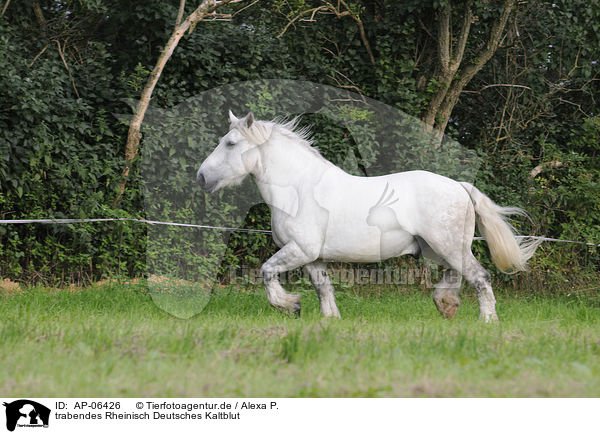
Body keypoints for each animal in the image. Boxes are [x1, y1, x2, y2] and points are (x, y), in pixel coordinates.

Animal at [197, 111, 540, 322]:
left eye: (230, 143)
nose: (201, 177)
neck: (299, 189)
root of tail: (459, 186)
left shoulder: (299, 250)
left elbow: (267, 272)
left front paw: (291, 305)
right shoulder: (312, 257)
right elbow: (324, 289)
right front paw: (329, 319)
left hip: (449, 246)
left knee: (480, 277)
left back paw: (486, 321)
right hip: (437, 249)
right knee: (456, 276)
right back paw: (447, 306)